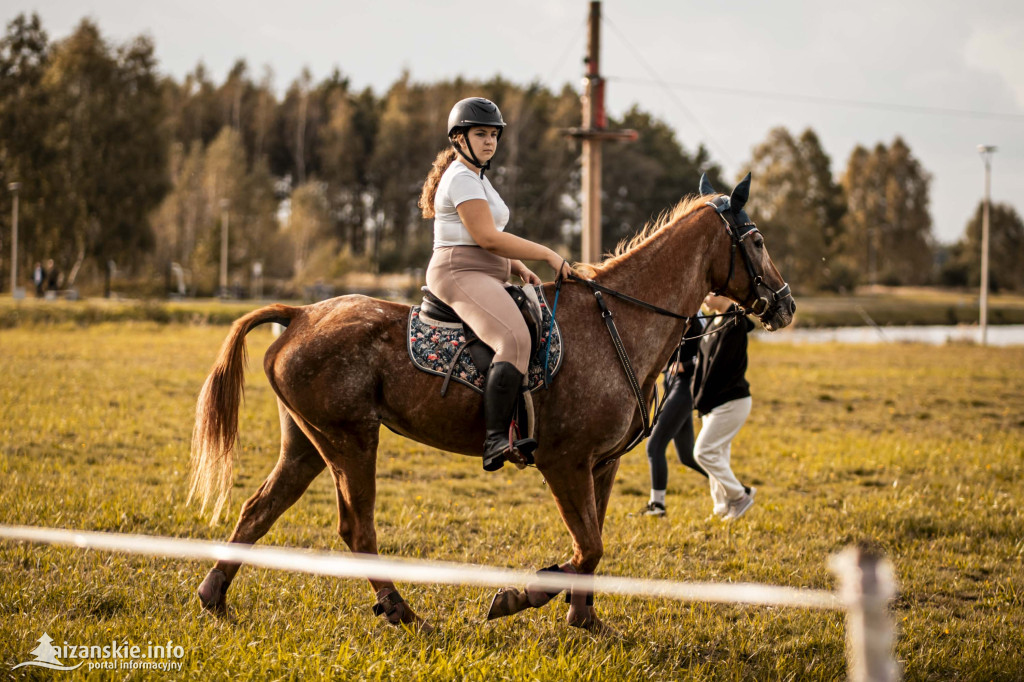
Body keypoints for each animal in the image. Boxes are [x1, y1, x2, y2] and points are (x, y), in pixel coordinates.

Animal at [188, 173, 794, 630]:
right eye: (758, 240)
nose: (785, 305)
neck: (618, 321)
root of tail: (300, 314)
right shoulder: (565, 462)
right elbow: (587, 548)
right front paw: (518, 596)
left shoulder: (601, 464)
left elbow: (593, 547)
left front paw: (585, 621)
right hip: (350, 441)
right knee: (356, 529)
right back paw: (401, 611)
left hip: (308, 443)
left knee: (259, 510)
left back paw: (214, 597)